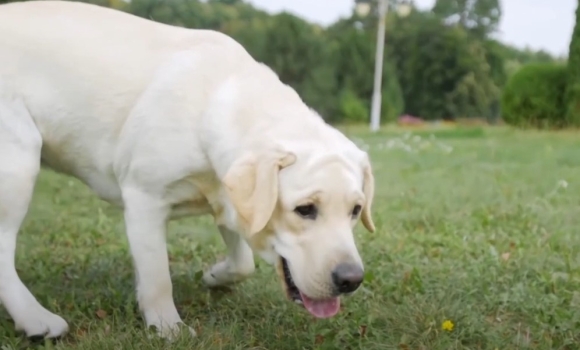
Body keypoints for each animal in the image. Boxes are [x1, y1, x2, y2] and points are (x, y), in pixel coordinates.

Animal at [0, 0, 376, 340]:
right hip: (18, 163)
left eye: (356, 211)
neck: (215, 104)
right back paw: (35, 319)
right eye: (305, 210)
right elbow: (158, 278)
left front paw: (216, 276)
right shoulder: (145, 200)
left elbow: (243, 262)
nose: (351, 279)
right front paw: (168, 328)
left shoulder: (228, 196)